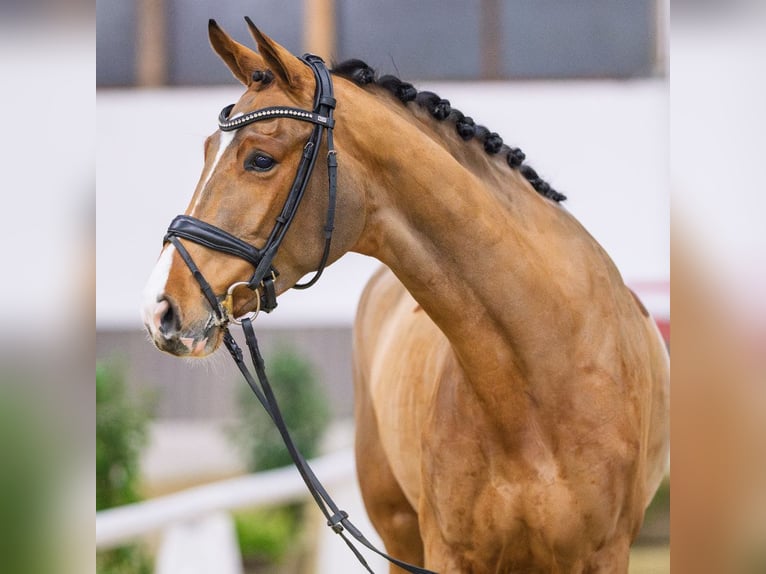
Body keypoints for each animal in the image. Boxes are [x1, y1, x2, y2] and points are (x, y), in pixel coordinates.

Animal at [141, 20, 669, 573]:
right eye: (206, 151)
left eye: (260, 159)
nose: (161, 309)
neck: (544, 373)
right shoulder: (445, 552)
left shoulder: (604, 554)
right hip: (398, 534)